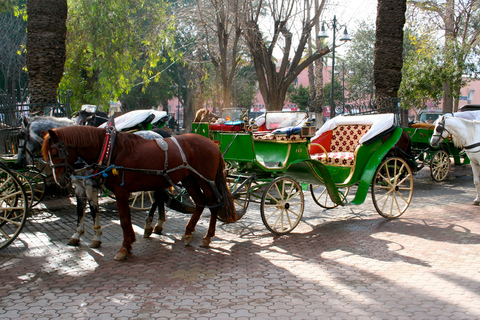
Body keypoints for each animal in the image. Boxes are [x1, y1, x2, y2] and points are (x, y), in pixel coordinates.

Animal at [42, 125, 237, 260]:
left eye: (55, 152)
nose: (59, 179)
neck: (111, 150)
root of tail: (212, 144)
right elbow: (122, 219)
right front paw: (128, 245)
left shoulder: (120, 191)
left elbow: (123, 219)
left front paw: (124, 247)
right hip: (190, 181)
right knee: (200, 203)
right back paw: (188, 232)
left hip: (205, 180)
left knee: (213, 204)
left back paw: (207, 236)